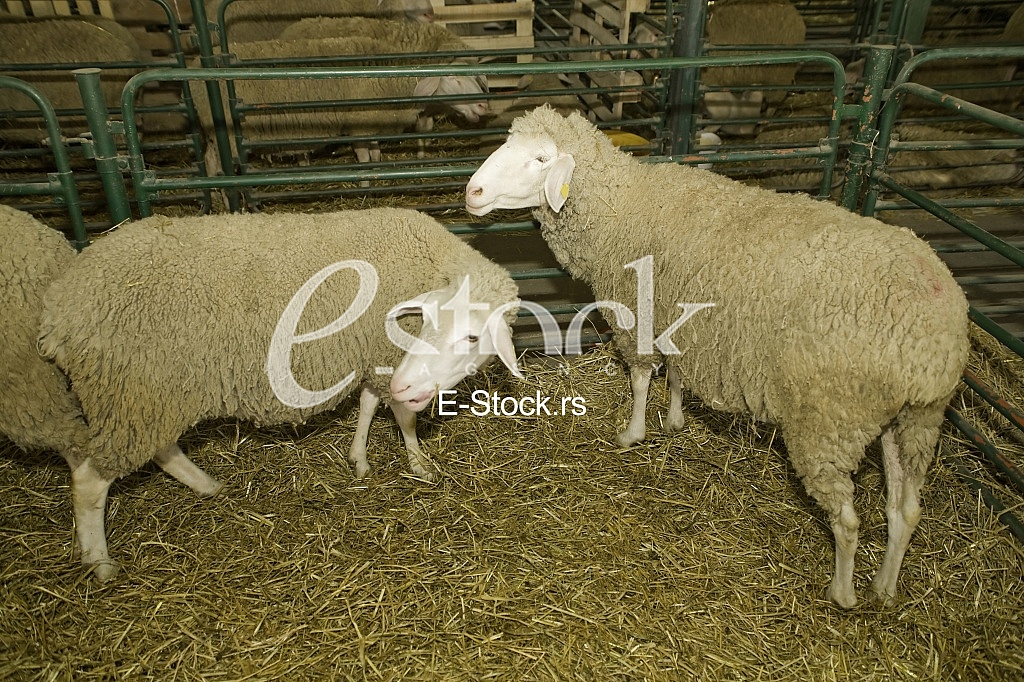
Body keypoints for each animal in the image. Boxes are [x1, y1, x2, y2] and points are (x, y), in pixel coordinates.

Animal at [37, 207, 521, 580]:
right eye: (430, 322)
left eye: (473, 337)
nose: (407, 383)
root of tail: (58, 310)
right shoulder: (386, 356)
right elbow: (403, 415)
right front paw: (419, 464)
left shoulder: (372, 356)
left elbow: (368, 402)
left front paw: (359, 458)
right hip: (131, 390)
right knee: (90, 480)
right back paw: (99, 562)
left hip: (149, 395)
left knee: (160, 449)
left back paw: (207, 486)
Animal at [464, 106, 971, 609]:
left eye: (541, 158)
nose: (473, 192)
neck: (622, 205)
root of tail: (937, 336)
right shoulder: (680, 315)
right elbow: (675, 372)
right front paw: (674, 419)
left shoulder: (638, 311)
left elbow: (641, 377)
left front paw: (632, 433)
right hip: (913, 421)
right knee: (905, 509)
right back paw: (884, 587)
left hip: (829, 420)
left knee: (847, 522)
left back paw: (843, 593)